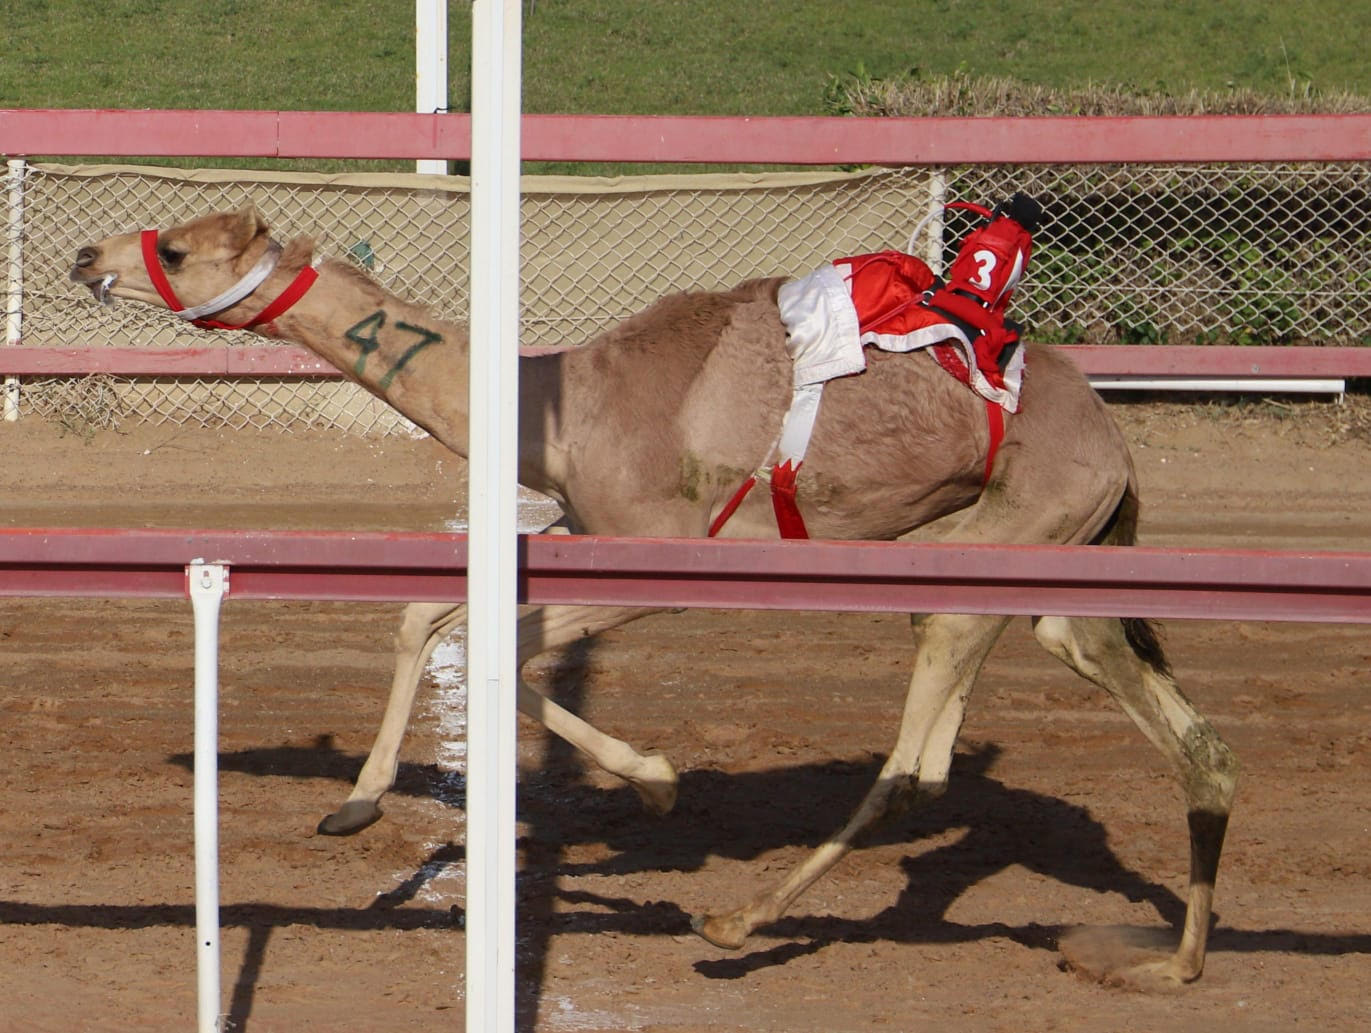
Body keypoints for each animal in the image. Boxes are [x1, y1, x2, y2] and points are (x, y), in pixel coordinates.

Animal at [69, 207, 1239, 982]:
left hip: (1005, 548)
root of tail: (1117, 443)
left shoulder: (661, 550)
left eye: (177, 250)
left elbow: (497, 644)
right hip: (1046, 581)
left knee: (918, 770)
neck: (563, 403)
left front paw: (659, 785)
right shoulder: (578, 531)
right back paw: (1166, 961)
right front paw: (354, 804)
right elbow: (430, 617)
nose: (86, 255)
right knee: (1187, 741)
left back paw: (733, 925)